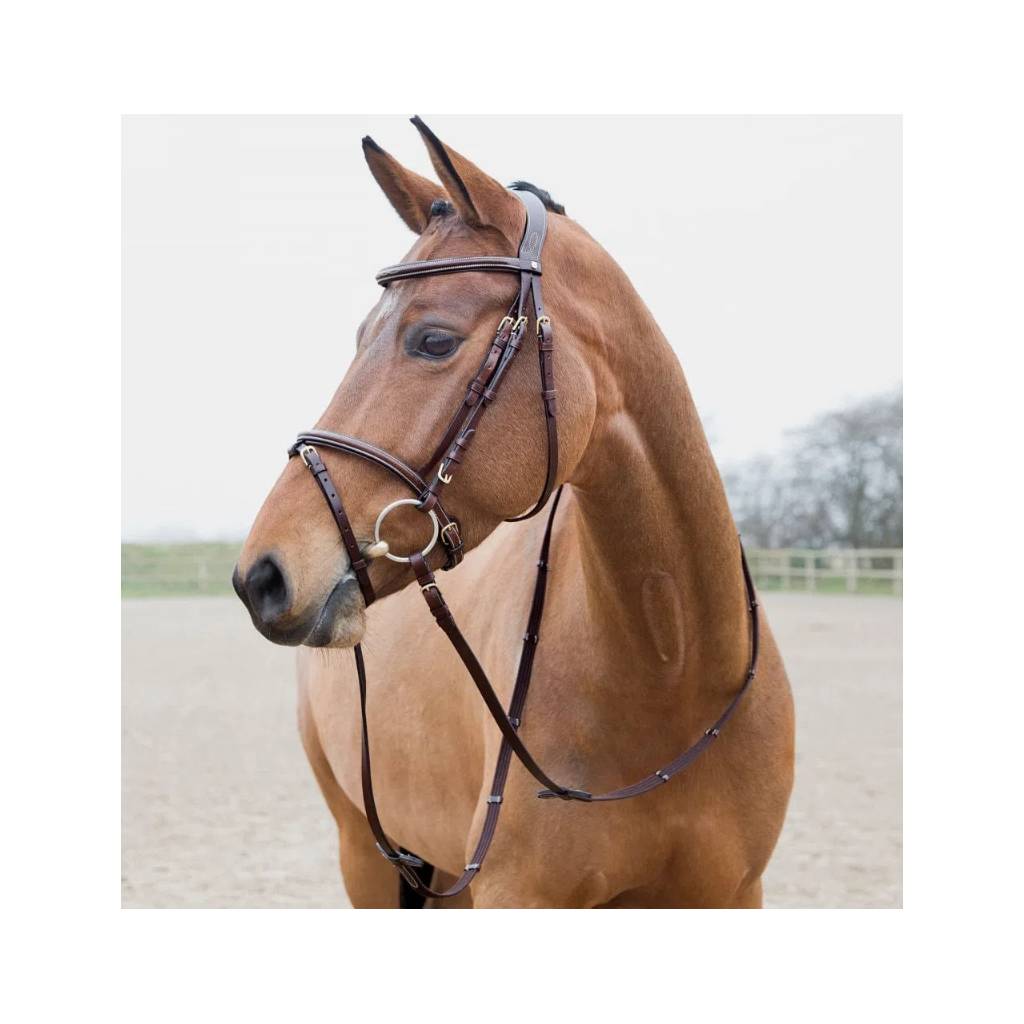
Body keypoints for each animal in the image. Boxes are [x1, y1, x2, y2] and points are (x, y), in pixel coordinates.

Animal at [234, 118, 795, 908]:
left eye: (433, 339)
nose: (261, 576)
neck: (673, 671)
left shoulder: (733, 892)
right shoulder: (516, 894)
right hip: (366, 856)